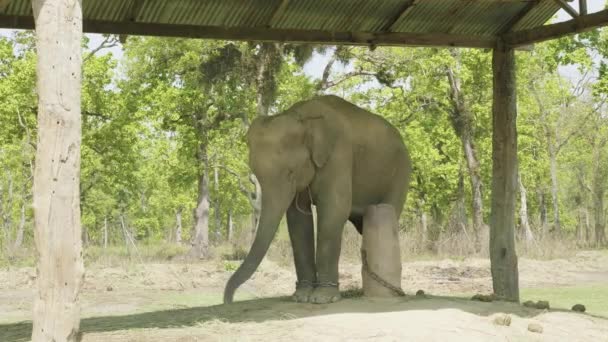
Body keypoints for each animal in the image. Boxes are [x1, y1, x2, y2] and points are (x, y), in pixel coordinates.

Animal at [223, 94, 414, 304]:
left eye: (290, 172)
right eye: (255, 173)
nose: (228, 301)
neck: (300, 116)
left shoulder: (339, 154)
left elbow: (334, 209)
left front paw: (322, 298)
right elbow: (298, 220)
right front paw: (301, 297)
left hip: (401, 171)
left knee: (389, 210)